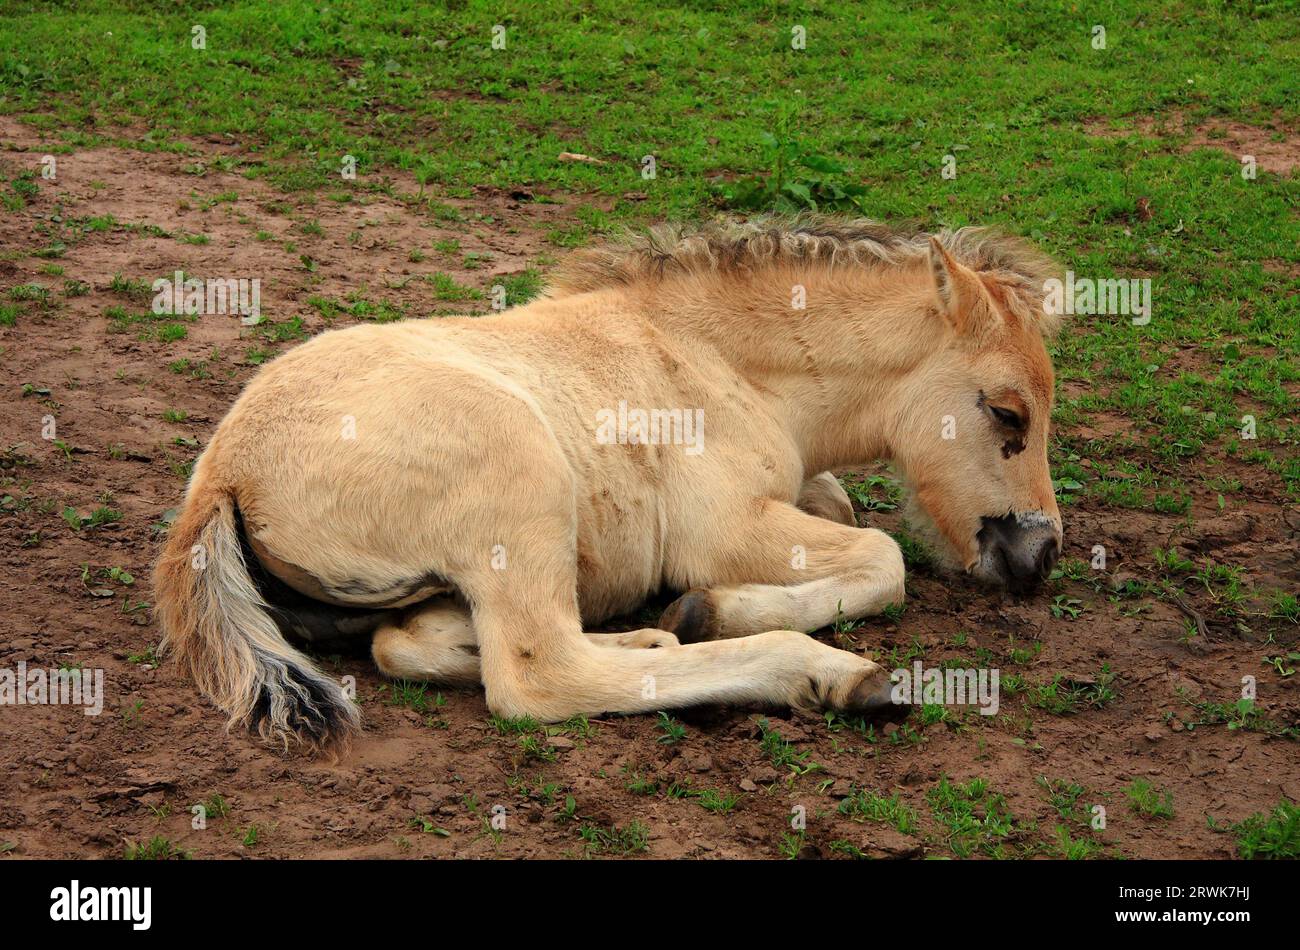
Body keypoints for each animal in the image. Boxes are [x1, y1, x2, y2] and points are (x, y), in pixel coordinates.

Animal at [154, 217, 1066, 748]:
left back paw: (649, 635)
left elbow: (842, 505)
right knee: (538, 676)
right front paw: (714, 608)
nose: (1041, 554)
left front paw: (694, 614)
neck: (721, 358)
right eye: (1007, 412)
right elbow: (883, 556)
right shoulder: (722, 527)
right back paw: (825, 673)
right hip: (520, 480)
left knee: (410, 642)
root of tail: (222, 474)